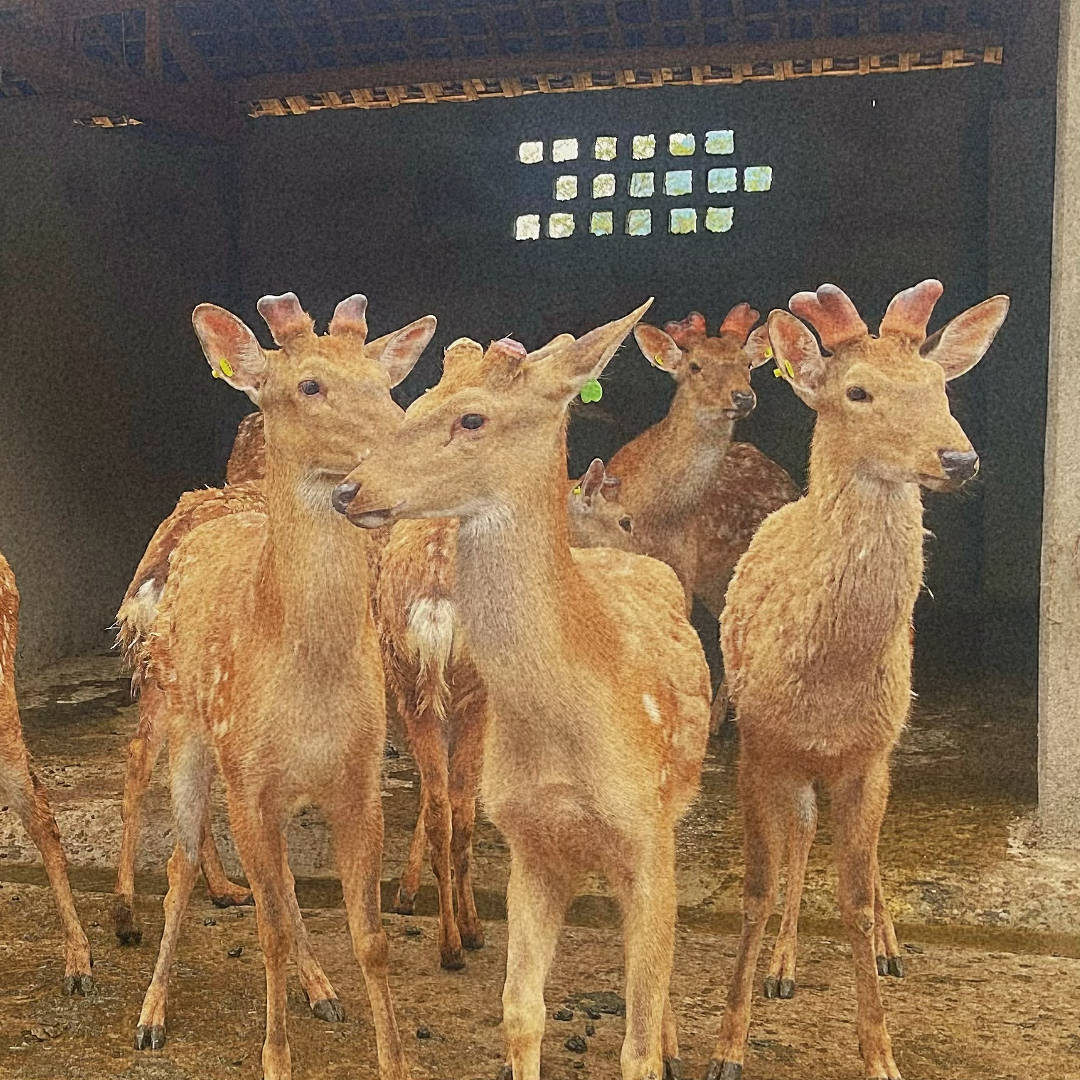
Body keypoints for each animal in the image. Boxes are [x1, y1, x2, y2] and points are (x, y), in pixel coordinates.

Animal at [131, 291, 435, 1080]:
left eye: (384, 381)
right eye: (309, 385)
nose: (402, 454)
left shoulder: (357, 781)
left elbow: (370, 937)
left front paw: (391, 1058)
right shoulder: (247, 778)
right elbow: (263, 928)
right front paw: (275, 1058)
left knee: (285, 890)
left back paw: (321, 989)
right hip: (188, 732)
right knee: (181, 865)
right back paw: (151, 1012)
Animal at [335, 302, 711, 1080]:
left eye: (472, 418)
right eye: (416, 402)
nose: (347, 489)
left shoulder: (648, 836)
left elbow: (634, 1039)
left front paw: (658, 1048)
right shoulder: (530, 847)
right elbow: (519, 1013)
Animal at [705, 280, 1009, 1080]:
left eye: (941, 386)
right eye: (858, 391)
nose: (958, 458)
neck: (824, 686)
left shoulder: (868, 756)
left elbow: (855, 899)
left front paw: (881, 1053)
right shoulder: (757, 746)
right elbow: (756, 887)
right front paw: (728, 1045)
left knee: (860, 857)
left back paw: (889, 952)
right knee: (800, 839)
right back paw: (781, 967)